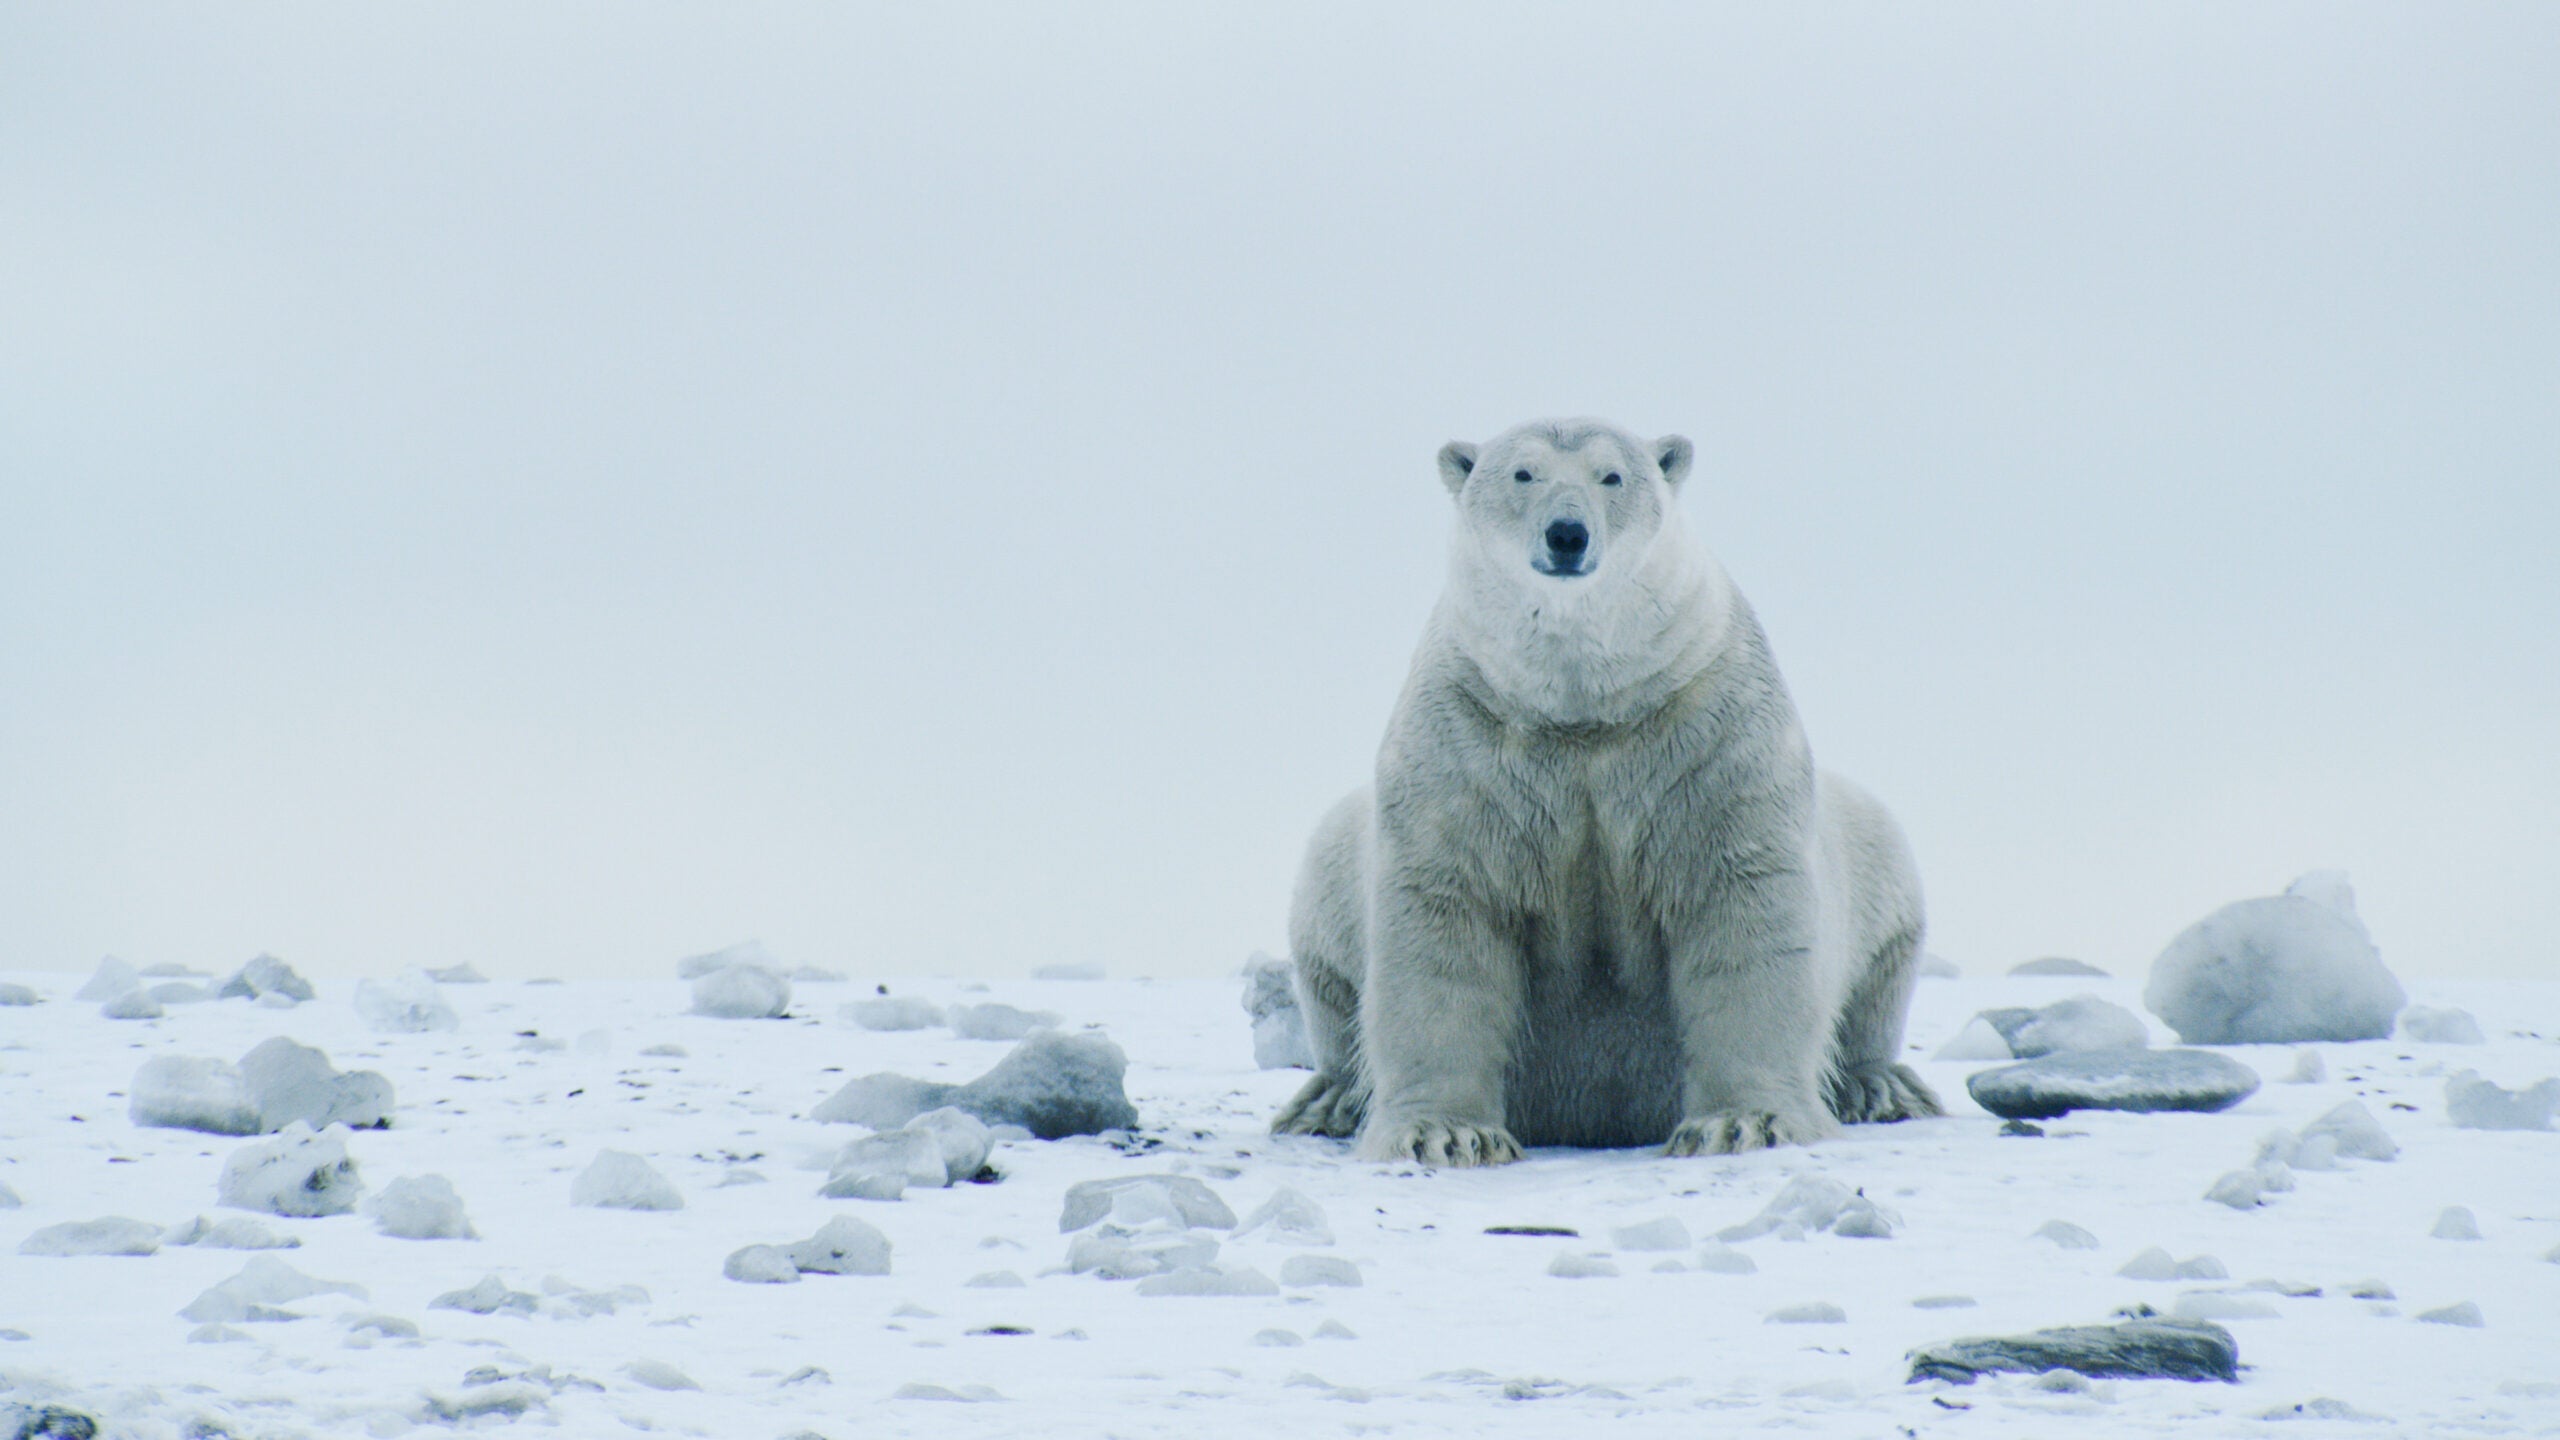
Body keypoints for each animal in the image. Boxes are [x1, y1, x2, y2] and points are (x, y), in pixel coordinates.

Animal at [1280, 417, 1935, 1168]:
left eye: (1612, 476)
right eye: (1523, 473)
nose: (1567, 533)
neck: (1583, 707)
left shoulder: (1711, 736)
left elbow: (1743, 911)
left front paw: (1744, 1123)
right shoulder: (1467, 745)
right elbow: (1445, 920)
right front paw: (1445, 1134)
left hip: (1872, 849)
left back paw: (1876, 1085)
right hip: (1332, 865)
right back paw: (1329, 1099)